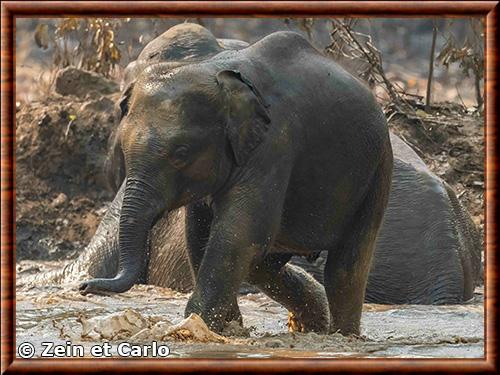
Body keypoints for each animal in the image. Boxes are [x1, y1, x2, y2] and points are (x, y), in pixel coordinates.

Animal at [75, 29, 394, 334]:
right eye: (124, 150)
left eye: (181, 153)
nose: (85, 287)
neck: (213, 72)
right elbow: (201, 234)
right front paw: (230, 328)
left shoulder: (275, 145)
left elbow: (237, 233)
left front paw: (199, 324)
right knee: (264, 264)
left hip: (378, 168)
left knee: (345, 268)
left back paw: (343, 335)